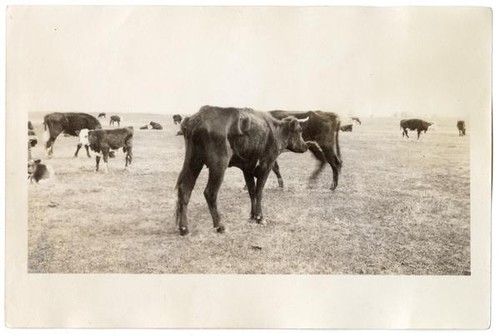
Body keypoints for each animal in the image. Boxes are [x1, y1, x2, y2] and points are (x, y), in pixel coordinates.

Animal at [175, 106, 308, 235]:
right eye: (300, 130)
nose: (306, 146)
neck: (275, 130)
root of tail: (198, 117)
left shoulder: (247, 169)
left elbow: (252, 192)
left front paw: (252, 216)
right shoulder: (266, 166)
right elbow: (259, 192)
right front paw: (260, 217)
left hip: (194, 162)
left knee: (185, 189)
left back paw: (184, 228)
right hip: (218, 166)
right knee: (210, 193)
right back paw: (219, 226)